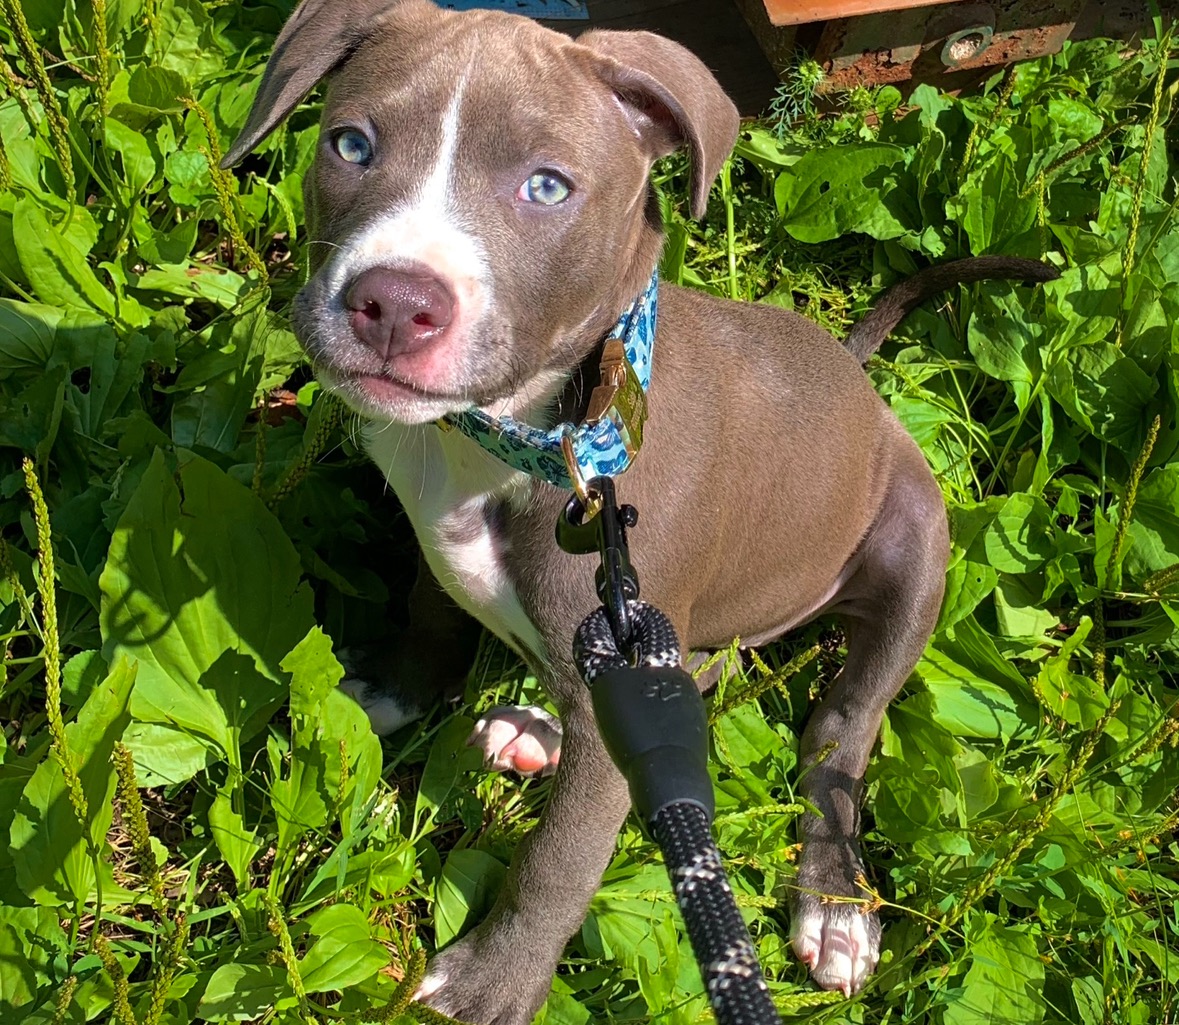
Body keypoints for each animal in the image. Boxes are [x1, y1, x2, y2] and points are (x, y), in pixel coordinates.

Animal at [222, 2, 1056, 1020]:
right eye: (350, 144)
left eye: (547, 187)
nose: (394, 302)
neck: (535, 431)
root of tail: (860, 377)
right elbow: (429, 609)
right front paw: (396, 687)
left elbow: (563, 857)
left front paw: (493, 981)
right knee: (684, 676)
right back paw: (540, 726)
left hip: (913, 541)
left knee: (839, 725)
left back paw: (833, 903)